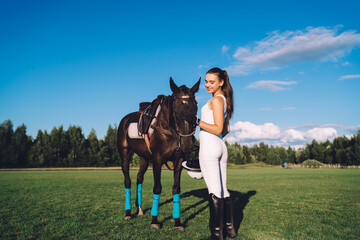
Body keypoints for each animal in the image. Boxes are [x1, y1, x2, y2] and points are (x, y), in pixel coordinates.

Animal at [116, 78, 200, 230]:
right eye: (176, 111)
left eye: (195, 108)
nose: (187, 144)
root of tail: (125, 119)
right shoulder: (157, 160)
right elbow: (157, 188)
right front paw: (154, 220)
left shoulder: (178, 160)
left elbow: (176, 189)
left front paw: (177, 221)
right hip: (124, 153)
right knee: (127, 180)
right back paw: (128, 212)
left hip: (143, 158)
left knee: (139, 178)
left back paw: (139, 209)